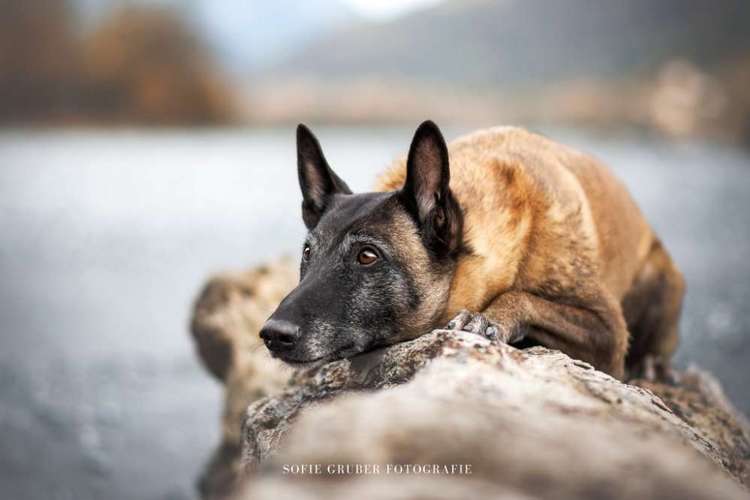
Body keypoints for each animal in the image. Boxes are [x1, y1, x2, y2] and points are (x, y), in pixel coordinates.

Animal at [260, 121, 688, 378]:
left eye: (367, 256)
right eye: (308, 253)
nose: (272, 335)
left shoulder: (609, 331)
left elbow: (523, 296)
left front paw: (487, 318)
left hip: (660, 280)